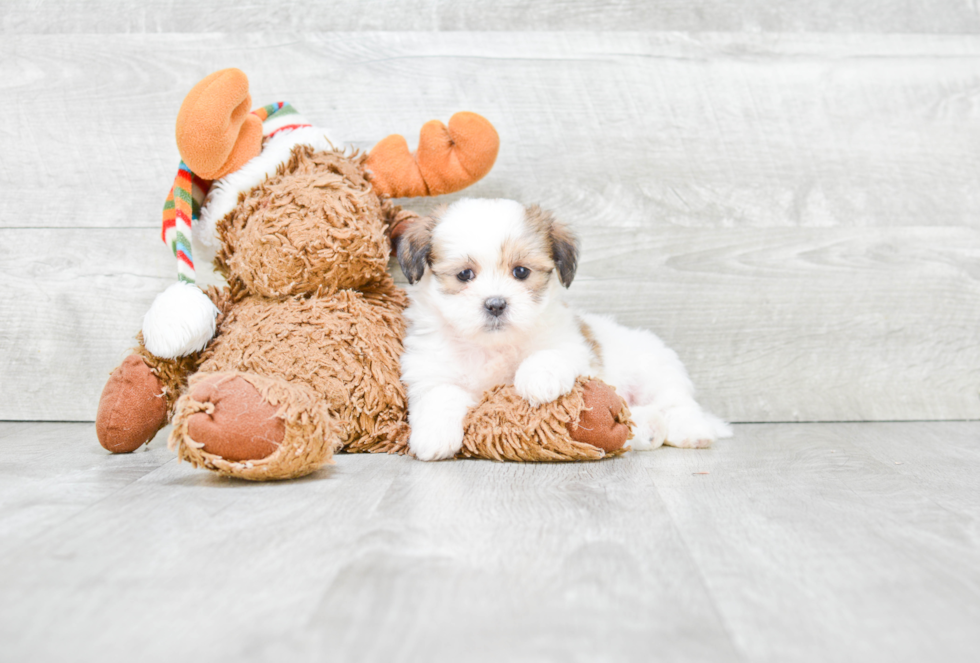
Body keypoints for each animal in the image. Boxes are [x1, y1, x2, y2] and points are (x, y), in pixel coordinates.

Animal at [396, 197, 728, 462]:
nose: (495, 304)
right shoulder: (431, 371)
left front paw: (538, 379)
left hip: (654, 371)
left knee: (677, 402)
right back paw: (649, 428)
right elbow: (440, 395)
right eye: (465, 274)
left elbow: (551, 353)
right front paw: (434, 436)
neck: (493, 346)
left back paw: (692, 430)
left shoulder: (574, 347)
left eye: (521, 272)